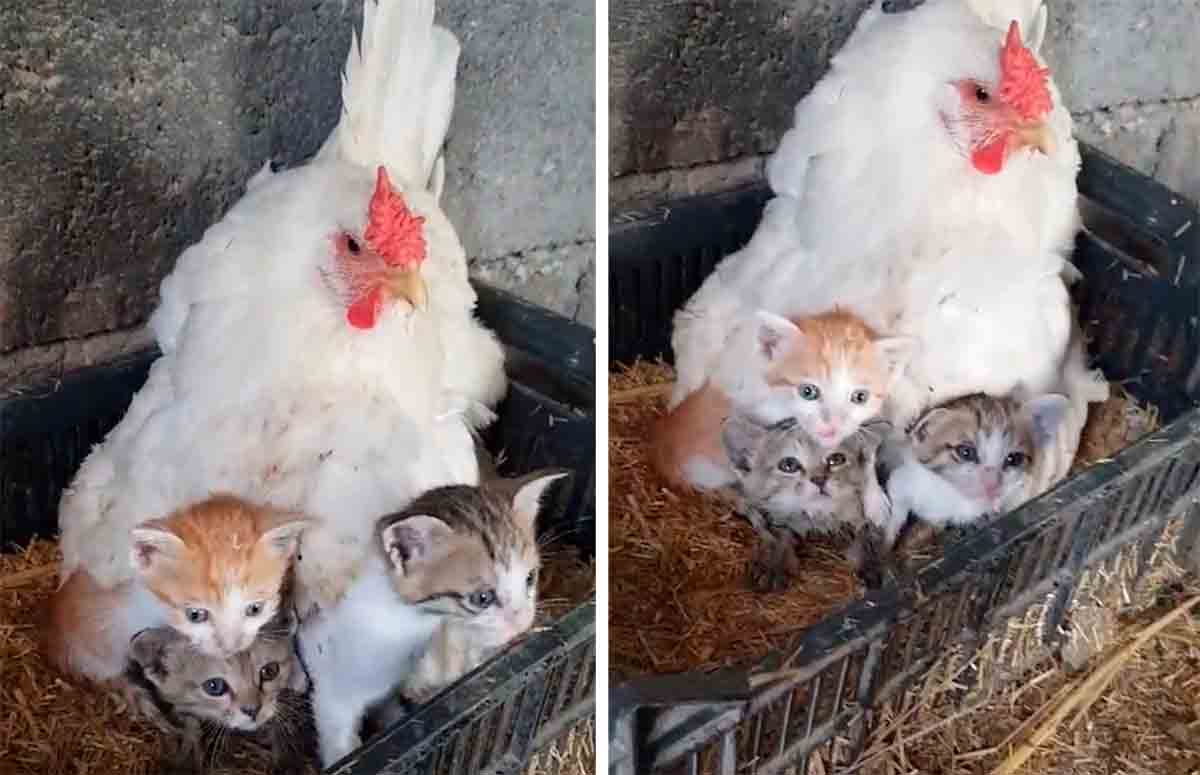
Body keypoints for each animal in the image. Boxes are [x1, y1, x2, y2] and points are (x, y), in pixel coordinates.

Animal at [720, 415, 892, 592]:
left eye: (836, 459)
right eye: (789, 465)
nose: (819, 479)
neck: (818, 517)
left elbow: (867, 532)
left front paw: (872, 564)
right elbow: (776, 532)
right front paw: (774, 564)